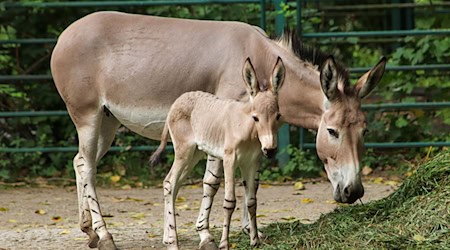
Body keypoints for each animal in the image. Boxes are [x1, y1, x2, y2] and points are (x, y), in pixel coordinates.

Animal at [150, 57, 284, 249]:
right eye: (256, 117)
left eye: (278, 116)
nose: (270, 150)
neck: (246, 129)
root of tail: (177, 101)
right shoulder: (229, 159)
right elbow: (230, 202)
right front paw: (224, 244)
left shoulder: (251, 162)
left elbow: (251, 201)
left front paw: (255, 241)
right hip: (183, 151)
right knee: (169, 182)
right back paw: (173, 242)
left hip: (194, 155)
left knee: (174, 185)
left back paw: (167, 237)